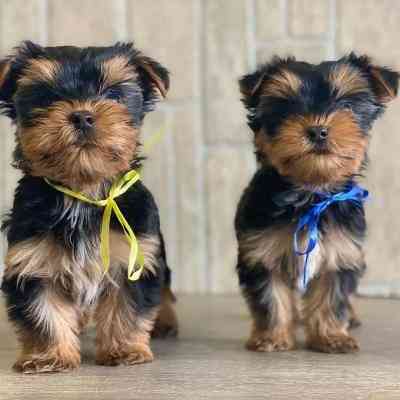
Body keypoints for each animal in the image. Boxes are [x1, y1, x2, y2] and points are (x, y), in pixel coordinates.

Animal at [236, 53, 398, 354]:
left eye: (347, 105)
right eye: (285, 108)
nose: (318, 130)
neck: (312, 193)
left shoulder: (342, 250)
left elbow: (332, 297)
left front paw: (332, 337)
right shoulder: (262, 250)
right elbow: (271, 296)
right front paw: (272, 337)